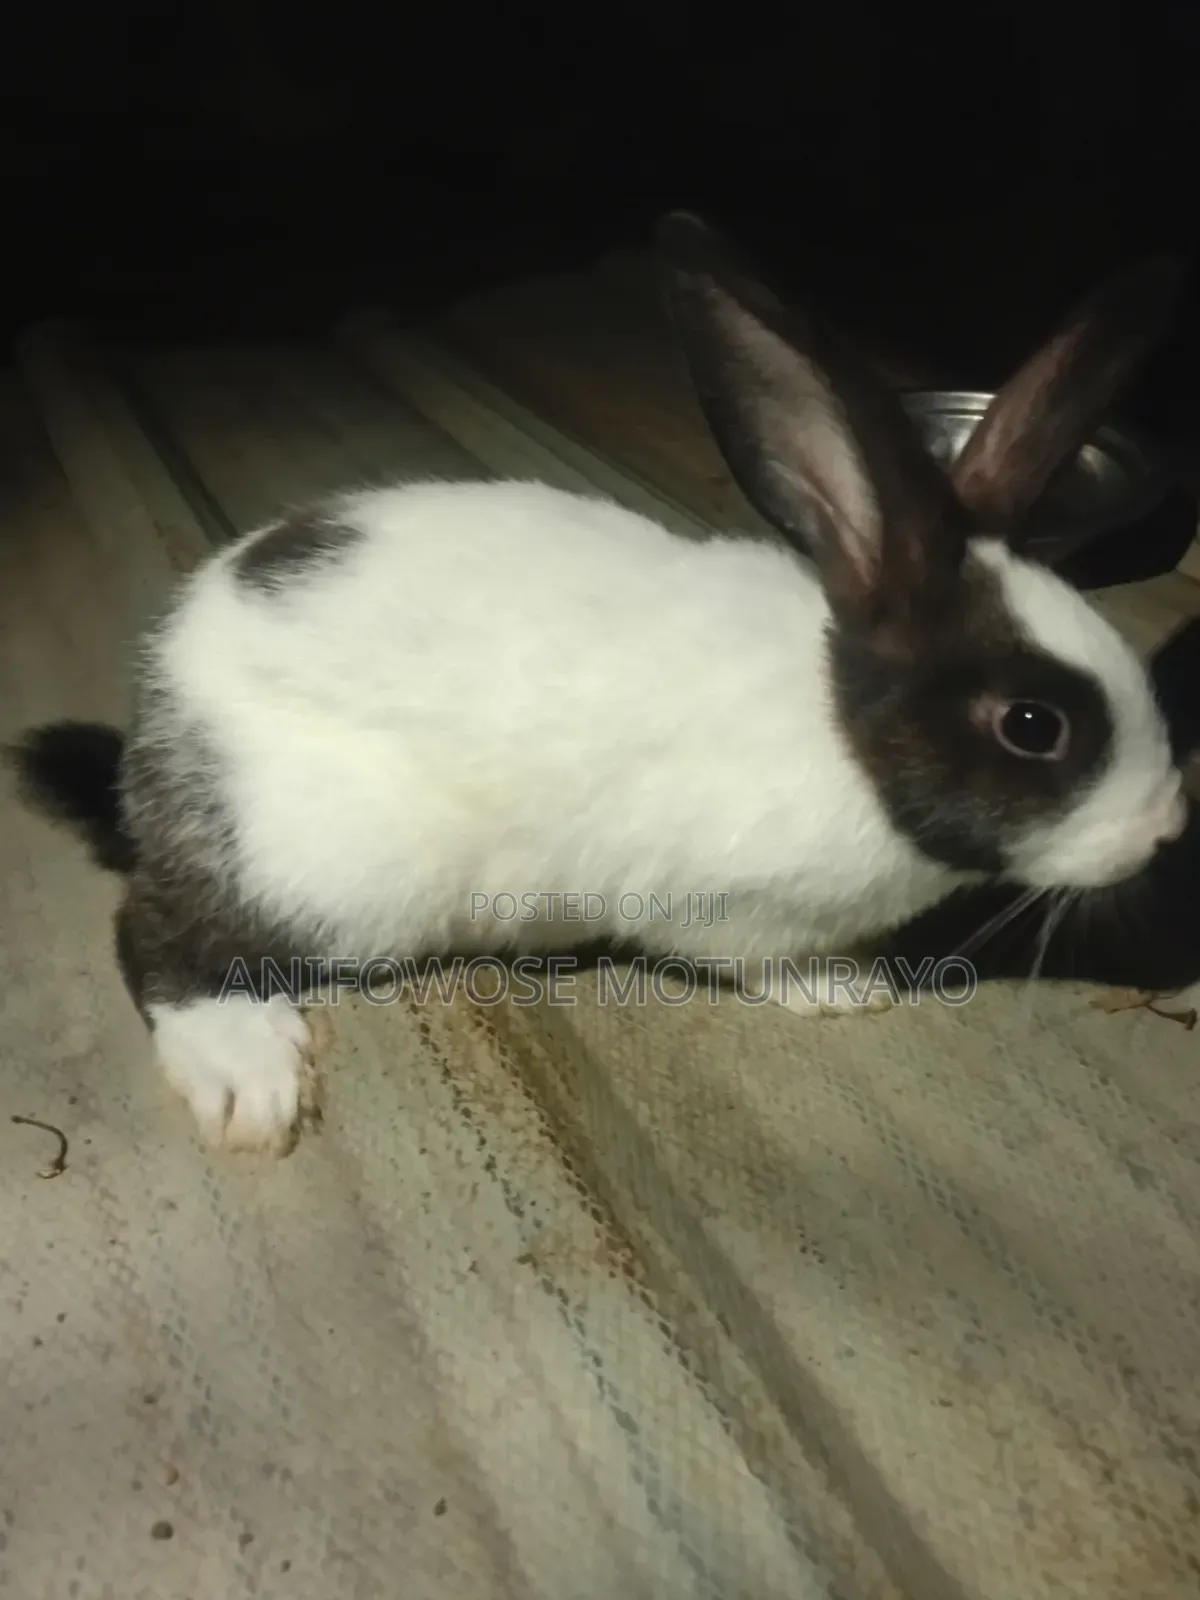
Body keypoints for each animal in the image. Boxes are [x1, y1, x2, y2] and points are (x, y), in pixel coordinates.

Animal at [8, 211, 1189, 1158]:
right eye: (1032, 725)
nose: (1168, 828)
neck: (840, 732)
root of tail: (160, 716)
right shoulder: (723, 907)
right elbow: (762, 959)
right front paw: (843, 989)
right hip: (326, 867)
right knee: (157, 938)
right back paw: (248, 1072)